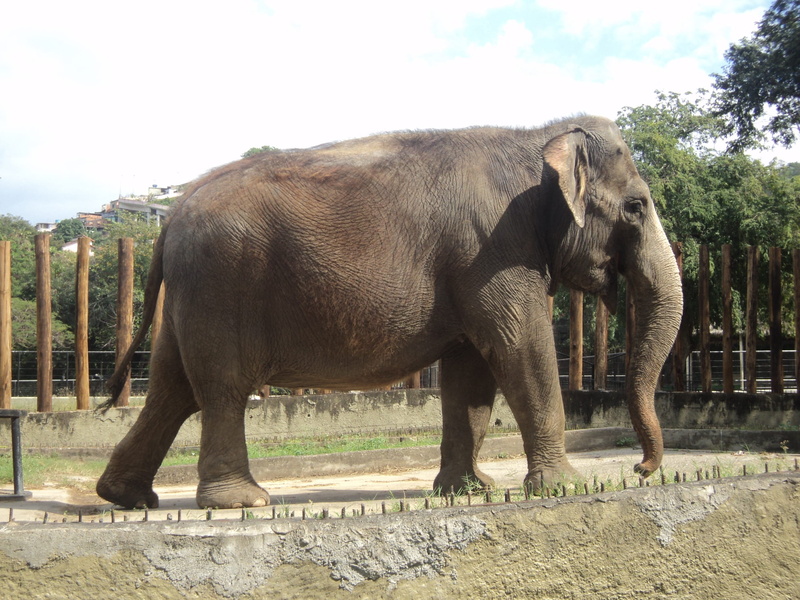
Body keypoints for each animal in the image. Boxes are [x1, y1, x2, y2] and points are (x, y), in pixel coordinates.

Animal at [96, 115, 683, 510]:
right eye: (637, 207)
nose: (642, 468)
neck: (537, 135)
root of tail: (171, 215)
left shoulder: (476, 265)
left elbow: (470, 376)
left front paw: (467, 491)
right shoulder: (494, 250)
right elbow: (522, 350)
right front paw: (568, 486)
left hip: (191, 295)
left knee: (172, 388)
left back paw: (126, 497)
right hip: (221, 283)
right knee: (220, 388)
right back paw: (241, 502)